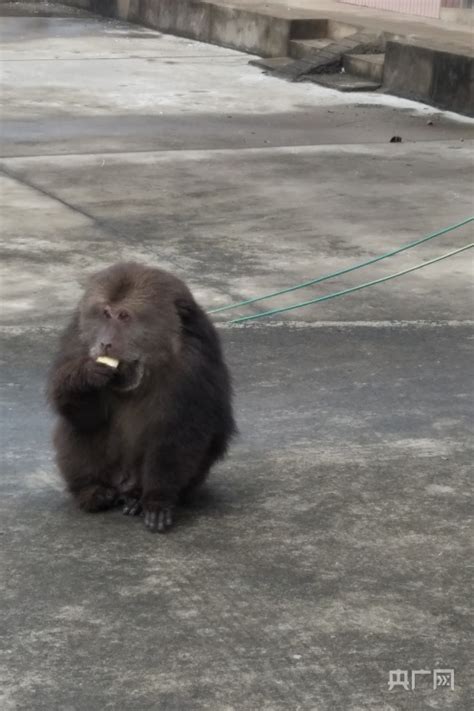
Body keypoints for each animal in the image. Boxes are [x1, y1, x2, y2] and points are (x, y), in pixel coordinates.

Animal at [47, 262, 236, 536]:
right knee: (74, 427)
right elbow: (87, 418)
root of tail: (122, 484)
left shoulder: (193, 366)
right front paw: (87, 376)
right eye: (106, 313)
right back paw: (93, 491)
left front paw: (157, 499)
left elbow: (177, 433)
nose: (105, 343)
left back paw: (137, 498)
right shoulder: (78, 341)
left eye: (124, 316)